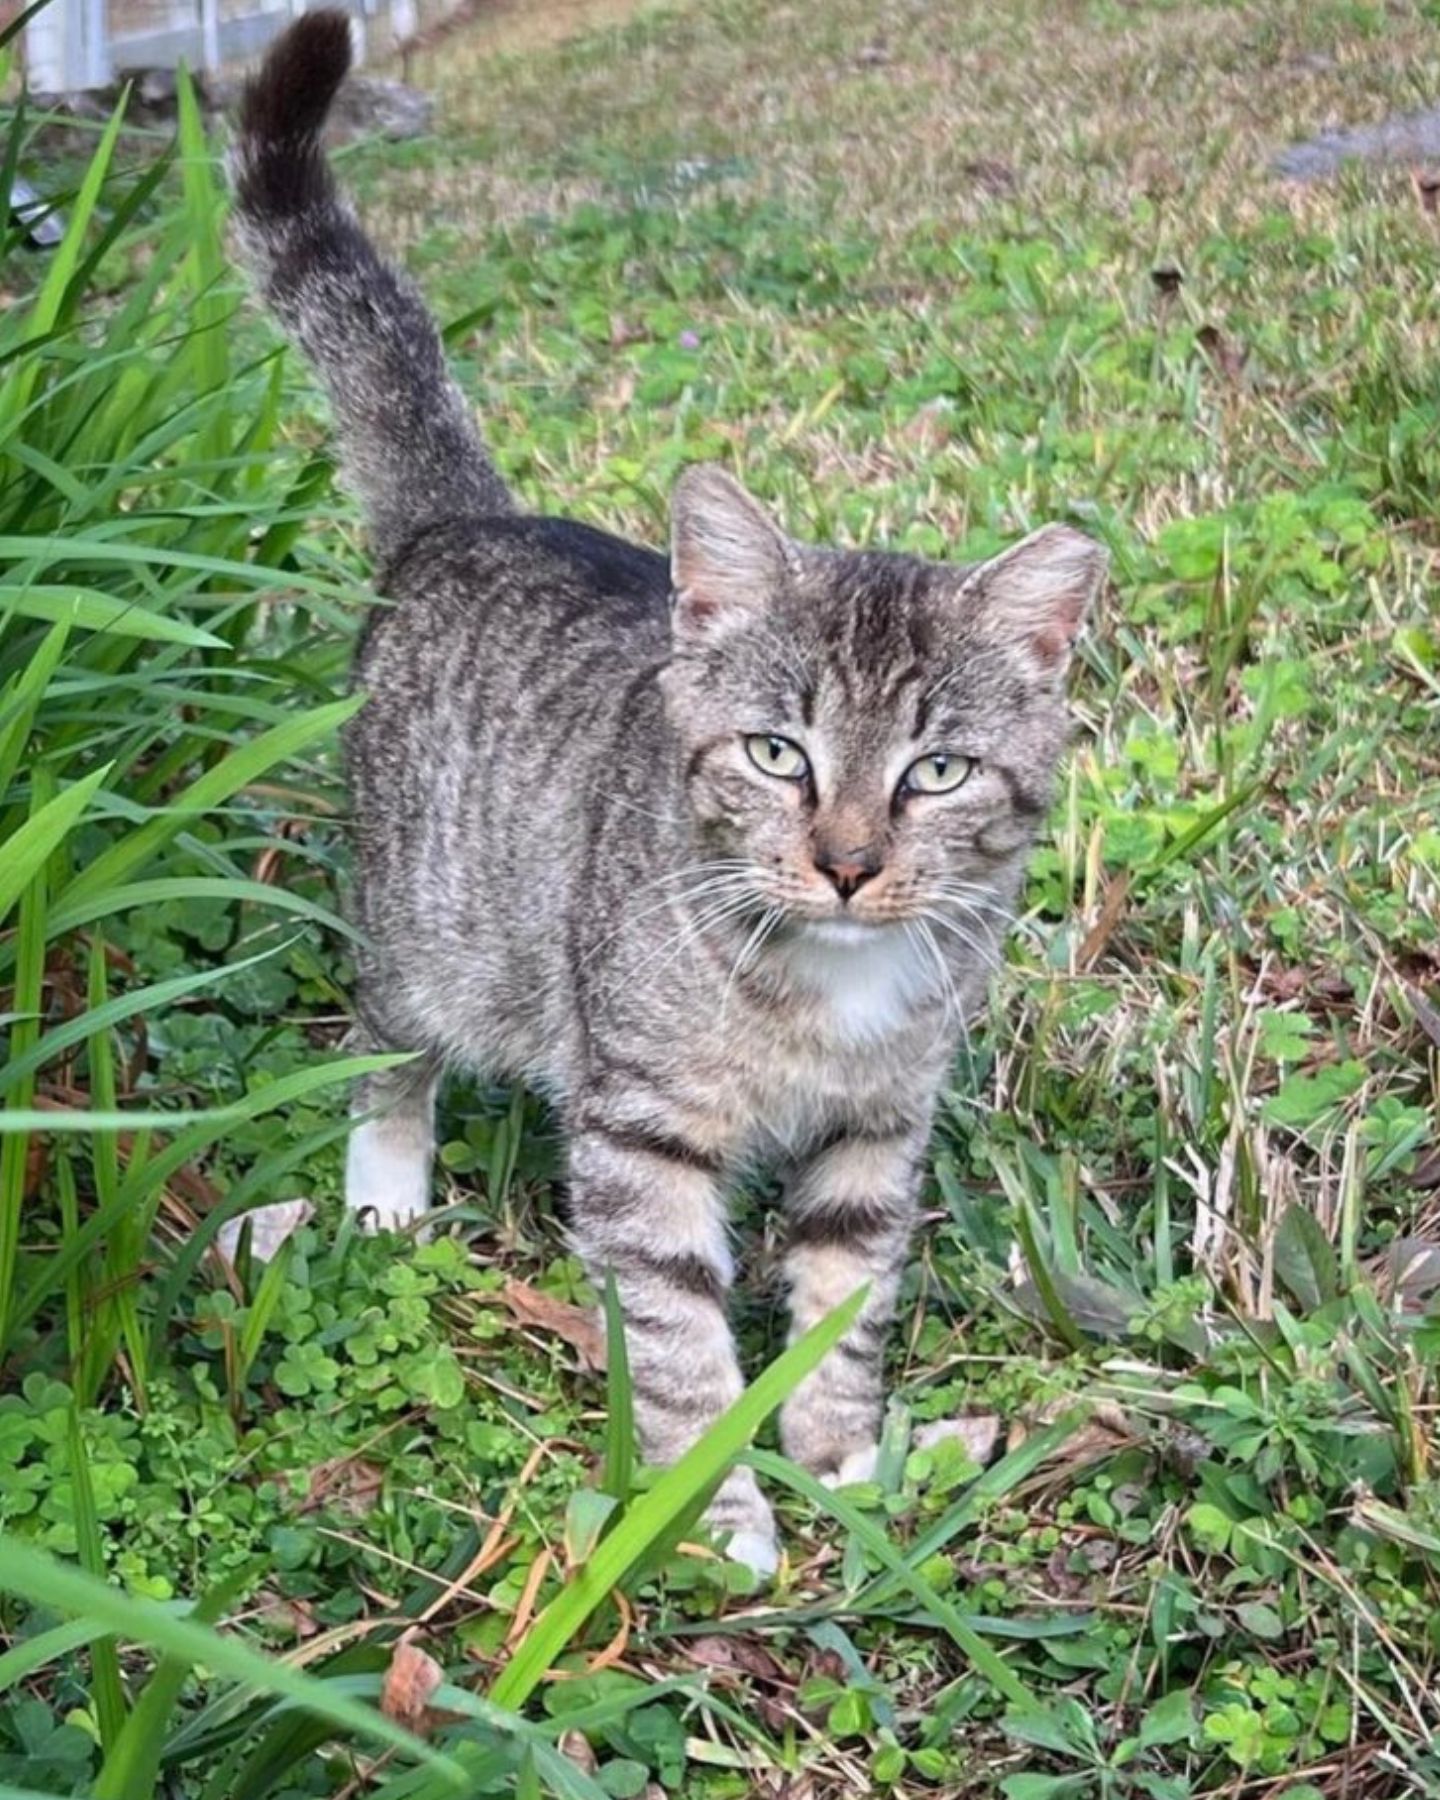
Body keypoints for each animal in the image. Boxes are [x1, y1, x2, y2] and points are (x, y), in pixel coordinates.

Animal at [230, 7, 1108, 1569]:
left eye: (938, 772)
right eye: (778, 753)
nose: (845, 861)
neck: (826, 982)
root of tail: (466, 519)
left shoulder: (880, 1128)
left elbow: (842, 1304)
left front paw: (842, 1459)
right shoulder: (642, 1132)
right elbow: (682, 1330)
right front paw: (718, 1516)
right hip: (426, 925)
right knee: (383, 1044)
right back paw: (386, 1193)